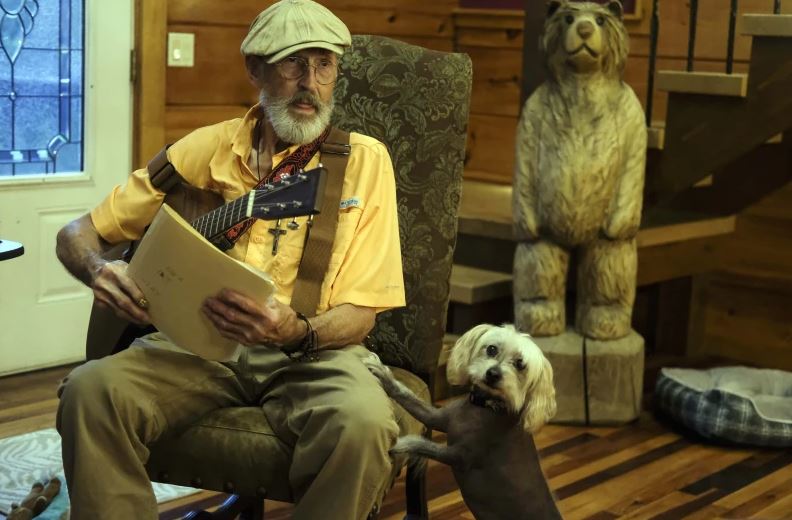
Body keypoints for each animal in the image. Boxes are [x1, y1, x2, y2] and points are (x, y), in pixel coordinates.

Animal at [366, 322, 564, 516]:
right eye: (491, 349)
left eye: (520, 364)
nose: (493, 373)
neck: (484, 405)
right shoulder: (434, 417)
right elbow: (406, 395)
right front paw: (383, 374)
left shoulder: (459, 457)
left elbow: (421, 444)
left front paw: (400, 444)